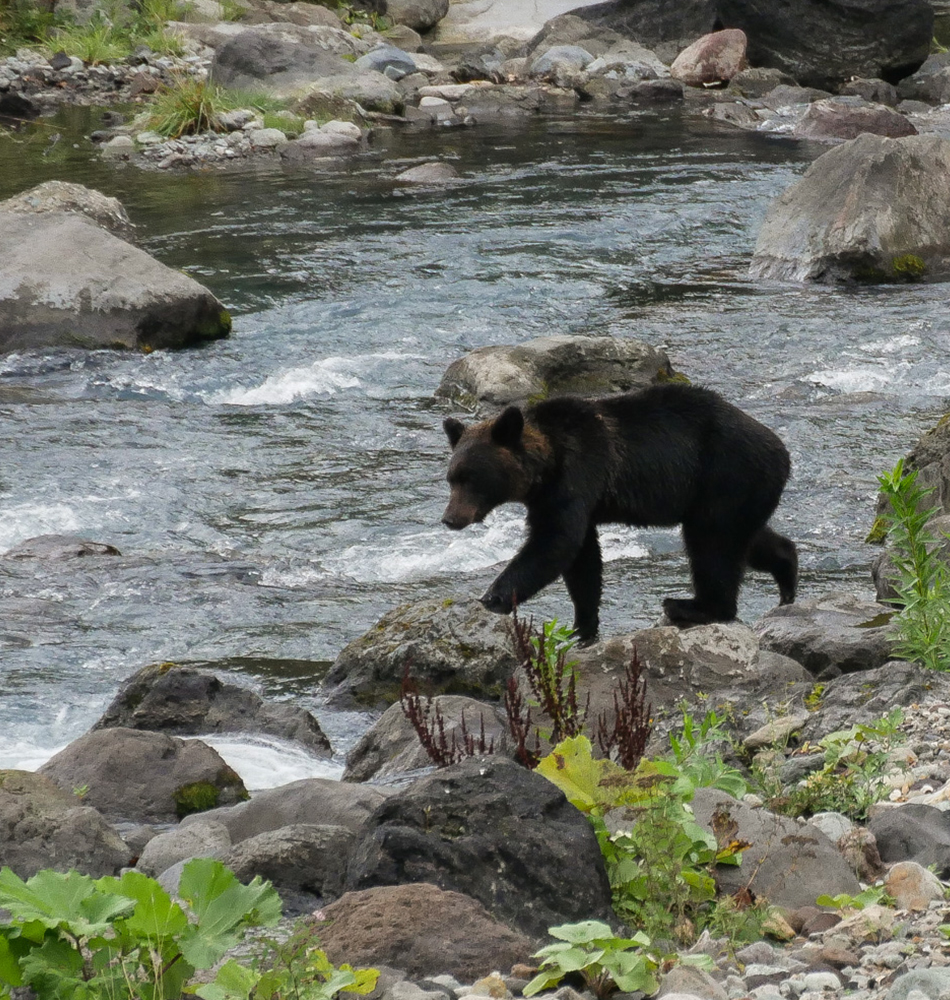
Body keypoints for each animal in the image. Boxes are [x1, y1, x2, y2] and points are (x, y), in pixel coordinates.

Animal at [442, 378, 800, 644]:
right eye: (451, 478)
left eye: (471, 478)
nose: (450, 519)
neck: (547, 462)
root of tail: (783, 452)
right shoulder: (557, 498)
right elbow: (582, 558)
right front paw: (582, 626)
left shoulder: (579, 475)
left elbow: (555, 543)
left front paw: (493, 597)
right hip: (736, 493)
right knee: (745, 538)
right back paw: (787, 574)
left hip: (726, 473)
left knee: (713, 546)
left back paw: (691, 606)